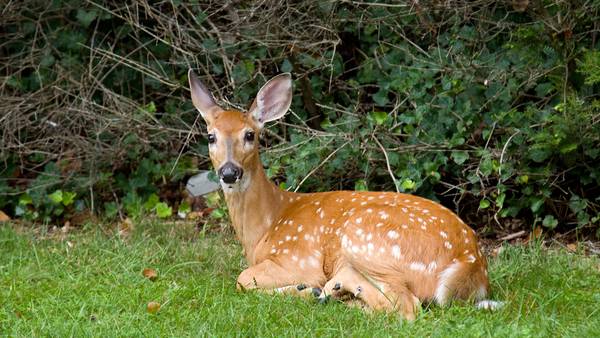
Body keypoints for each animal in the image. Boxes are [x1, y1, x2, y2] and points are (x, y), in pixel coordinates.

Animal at [189, 69, 502, 320]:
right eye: (211, 136)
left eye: (250, 135)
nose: (230, 172)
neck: (264, 228)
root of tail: (471, 264)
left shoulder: (299, 260)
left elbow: (242, 279)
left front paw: (308, 289)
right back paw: (337, 292)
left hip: (364, 237)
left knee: (406, 306)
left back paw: (329, 290)